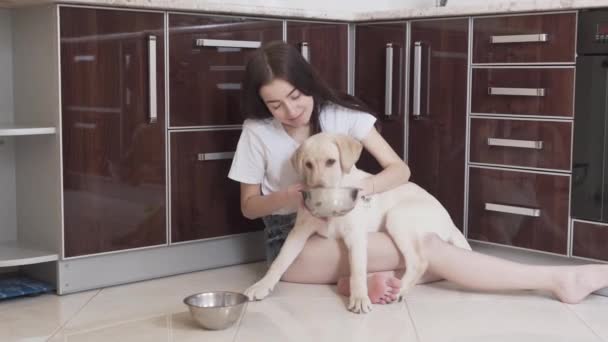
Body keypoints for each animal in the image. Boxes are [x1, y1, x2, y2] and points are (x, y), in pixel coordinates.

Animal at [245, 132, 472, 314]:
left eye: (331, 161)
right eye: (308, 165)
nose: (318, 190)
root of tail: (450, 221)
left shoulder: (356, 236)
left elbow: (357, 269)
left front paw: (360, 298)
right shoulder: (299, 231)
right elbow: (280, 261)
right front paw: (261, 285)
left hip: (397, 218)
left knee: (419, 262)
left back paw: (398, 290)